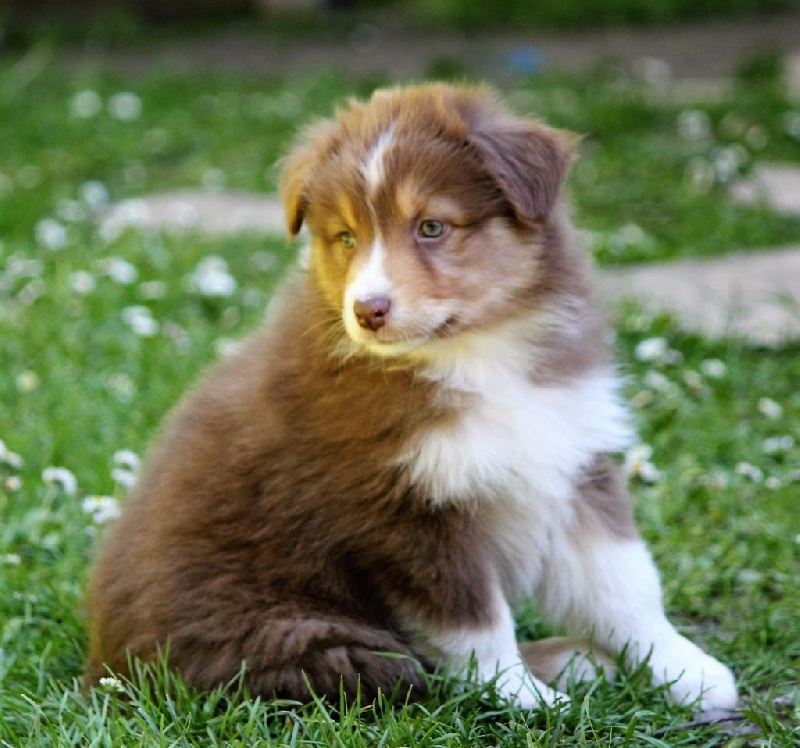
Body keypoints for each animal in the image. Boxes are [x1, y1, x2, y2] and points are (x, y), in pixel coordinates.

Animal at [85, 83, 737, 711]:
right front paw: (523, 698)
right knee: (398, 669)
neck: (475, 354)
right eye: (346, 237)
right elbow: (475, 623)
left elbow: (626, 584)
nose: (368, 310)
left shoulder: (572, 459)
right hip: (308, 636)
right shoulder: (408, 514)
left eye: (431, 227)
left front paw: (688, 672)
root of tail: (104, 667)